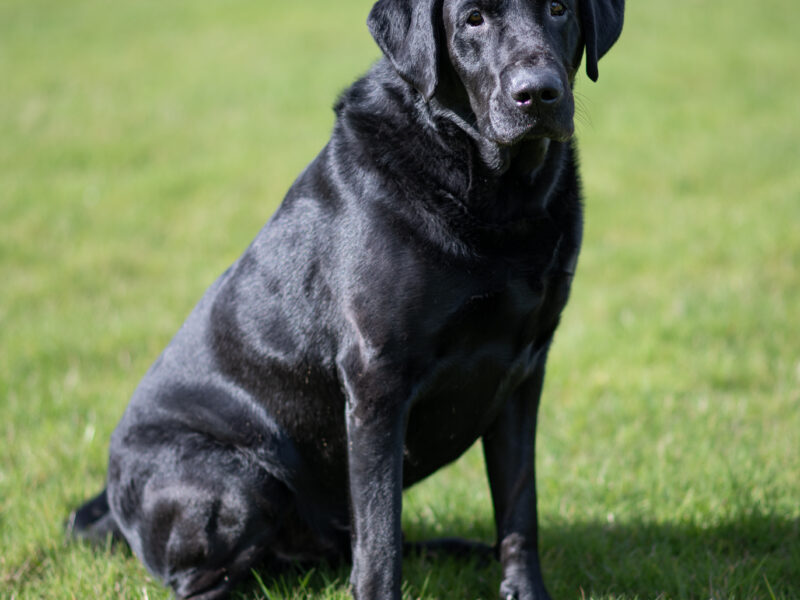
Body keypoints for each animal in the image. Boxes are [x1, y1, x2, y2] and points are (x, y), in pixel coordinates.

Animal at [70, 1, 624, 600]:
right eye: (473, 19)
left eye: (559, 9)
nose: (537, 92)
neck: (496, 195)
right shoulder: (376, 382)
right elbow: (379, 541)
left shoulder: (523, 372)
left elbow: (519, 508)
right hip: (241, 481)